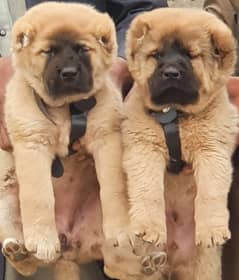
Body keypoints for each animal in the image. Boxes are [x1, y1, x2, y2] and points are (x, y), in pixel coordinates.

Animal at [123, 7, 239, 278]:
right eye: (156, 55)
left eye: (190, 55)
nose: (171, 73)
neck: (174, 114)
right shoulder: (144, 147)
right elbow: (148, 189)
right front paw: (148, 228)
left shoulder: (212, 149)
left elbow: (211, 191)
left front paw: (212, 230)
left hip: (205, 267)